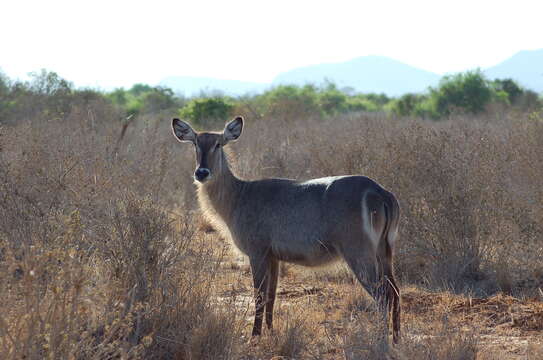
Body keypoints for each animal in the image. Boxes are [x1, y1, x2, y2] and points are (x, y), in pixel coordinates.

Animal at [172, 116, 402, 344]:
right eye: (195, 143)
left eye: (218, 144)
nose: (202, 172)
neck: (238, 196)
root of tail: (381, 193)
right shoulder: (274, 257)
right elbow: (272, 296)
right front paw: (271, 332)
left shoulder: (257, 252)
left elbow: (259, 295)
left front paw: (254, 338)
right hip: (385, 251)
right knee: (395, 291)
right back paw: (397, 339)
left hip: (359, 252)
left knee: (382, 294)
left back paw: (381, 340)